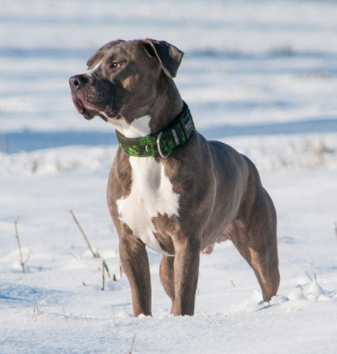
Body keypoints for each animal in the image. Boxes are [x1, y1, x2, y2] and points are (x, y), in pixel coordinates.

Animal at [68, 38, 278, 316]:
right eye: (90, 64)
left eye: (116, 64)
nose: (74, 80)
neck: (146, 147)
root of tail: (246, 162)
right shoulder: (129, 241)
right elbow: (141, 295)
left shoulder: (186, 240)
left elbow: (185, 296)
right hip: (168, 263)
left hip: (260, 248)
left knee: (268, 282)